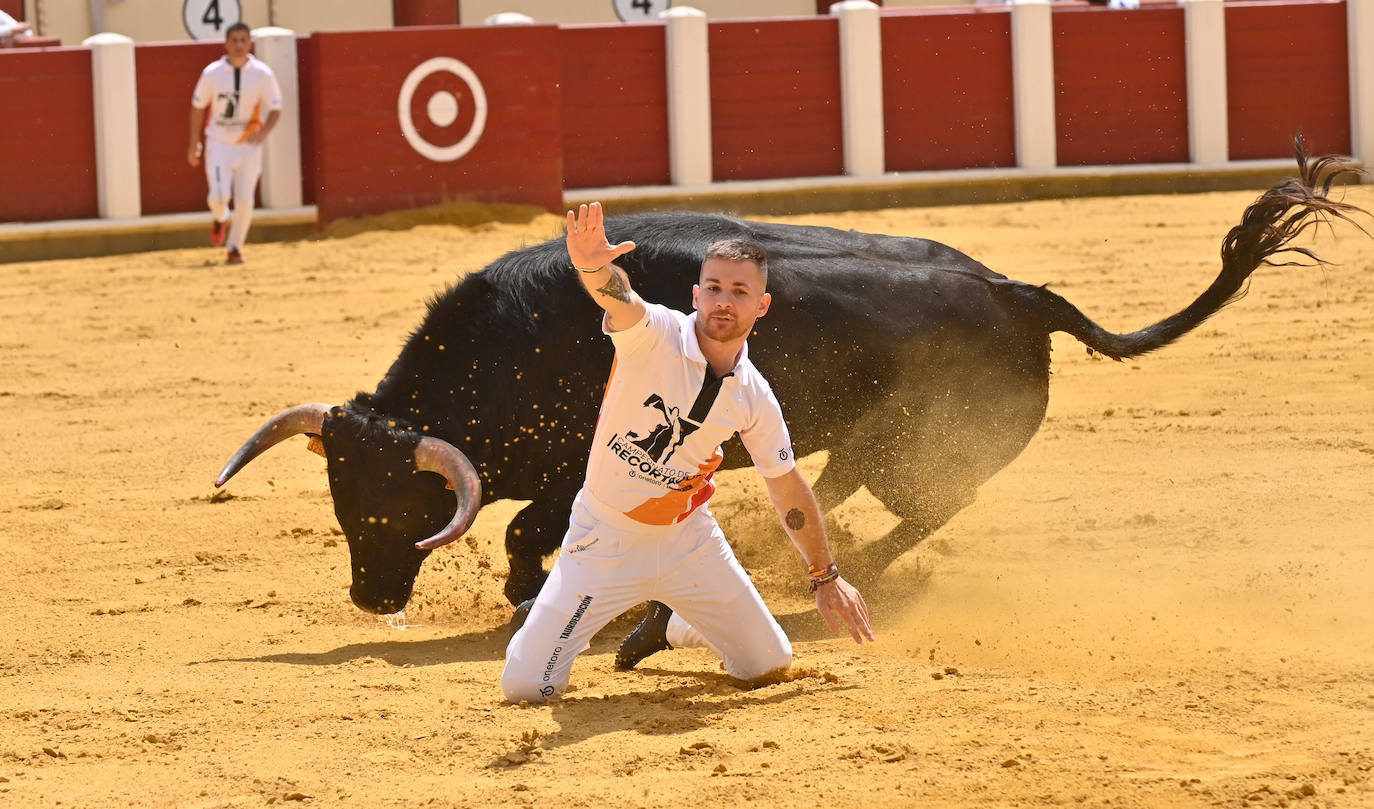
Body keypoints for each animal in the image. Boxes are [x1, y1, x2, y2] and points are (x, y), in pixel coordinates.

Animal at [214, 146, 1363, 612]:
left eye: (395, 505)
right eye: (338, 496)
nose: (369, 597)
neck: (521, 344)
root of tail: (1022, 295)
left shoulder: (570, 470)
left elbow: (525, 531)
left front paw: (523, 588)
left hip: (918, 449)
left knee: (925, 505)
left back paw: (833, 573)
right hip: (876, 442)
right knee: (848, 490)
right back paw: (790, 553)